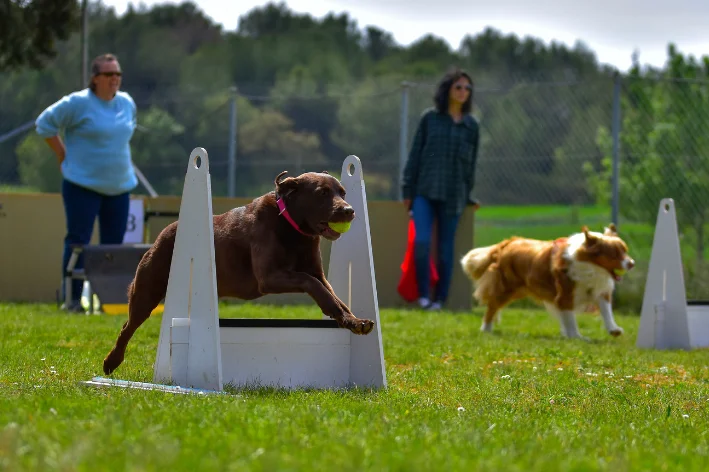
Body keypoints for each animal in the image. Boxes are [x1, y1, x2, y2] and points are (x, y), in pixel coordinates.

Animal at [103, 171, 376, 374]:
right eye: (322, 193)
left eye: (342, 192)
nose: (349, 210)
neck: (292, 227)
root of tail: (166, 231)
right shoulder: (269, 277)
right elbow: (312, 284)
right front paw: (338, 312)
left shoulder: (316, 273)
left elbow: (332, 294)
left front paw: (354, 322)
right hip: (148, 288)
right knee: (128, 325)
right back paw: (111, 362)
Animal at [460, 225, 636, 340]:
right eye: (614, 254)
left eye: (625, 251)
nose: (632, 263)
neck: (591, 267)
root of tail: (508, 242)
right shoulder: (565, 294)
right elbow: (570, 318)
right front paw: (576, 336)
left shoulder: (598, 291)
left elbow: (607, 311)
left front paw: (613, 329)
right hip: (507, 288)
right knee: (492, 305)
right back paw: (486, 329)